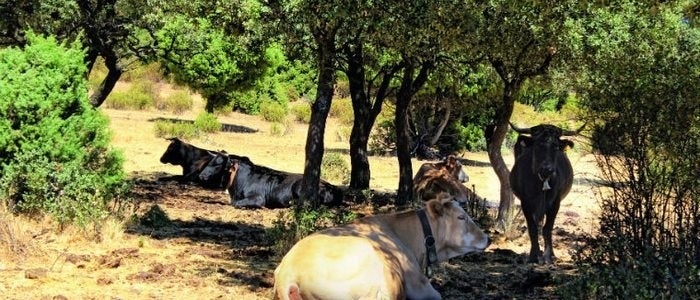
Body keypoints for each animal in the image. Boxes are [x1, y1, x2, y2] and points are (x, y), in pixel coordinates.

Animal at [159, 138, 344, 209]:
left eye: (218, 164)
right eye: (210, 161)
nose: (202, 176)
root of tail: (332, 187)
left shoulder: (258, 199)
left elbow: (236, 204)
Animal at [508, 123, 580, 264]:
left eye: (556, 147)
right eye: (537, 145)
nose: (548, 169)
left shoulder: (555, 203)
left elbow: (548, 228)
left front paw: (547, 256)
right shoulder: (525, 203)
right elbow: (533, 228)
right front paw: (533, 255)